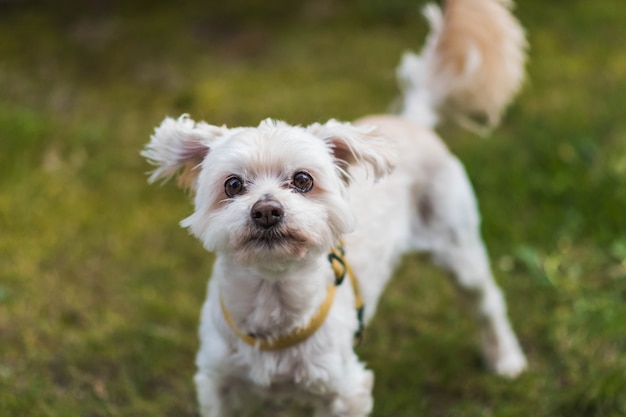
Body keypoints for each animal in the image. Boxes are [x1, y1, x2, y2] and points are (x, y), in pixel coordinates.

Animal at [141, 0, 528, 412]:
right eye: (232, 185)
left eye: (302, 180)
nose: (267, 210)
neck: (273, 300)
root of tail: (411, 120)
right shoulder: (217, 384)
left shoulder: (346, 390)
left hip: (459, 246)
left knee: (488, 302)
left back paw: (506, 359)